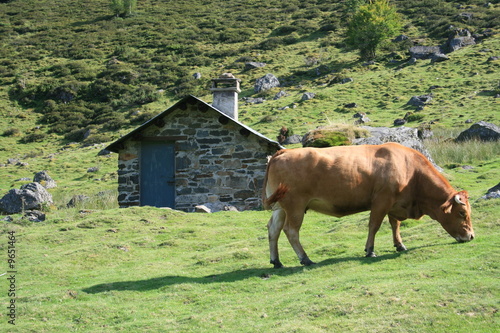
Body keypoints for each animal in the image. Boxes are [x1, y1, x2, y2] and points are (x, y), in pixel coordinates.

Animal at [264, 142, 474, 268]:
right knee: (291, 231)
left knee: (273, 229)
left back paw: (276, 261)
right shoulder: (381, 201)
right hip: (295, 207)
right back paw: (305, 259)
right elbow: (374, 225)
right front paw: (370, 250)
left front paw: (400, 245)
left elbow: (395, 225)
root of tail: (283, 152)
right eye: (462, 213)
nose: (471, 236)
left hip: (280, 208)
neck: (412, 171)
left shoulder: (395, 204)